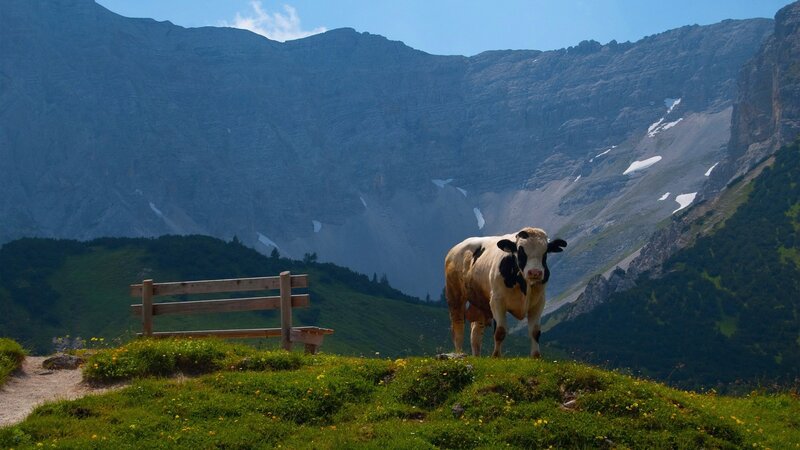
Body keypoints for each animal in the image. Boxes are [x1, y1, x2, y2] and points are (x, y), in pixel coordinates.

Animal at [444, 227, 567, 358]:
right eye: (520, 251)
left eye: (545, 252)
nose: (535, 272)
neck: (523, 284)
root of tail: (455, 248)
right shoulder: (497, 301)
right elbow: (500, 331)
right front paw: (496, 356)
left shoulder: (539, 302)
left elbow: (535, 332)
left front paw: (536, 356)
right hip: (454, 294)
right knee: (458, 325)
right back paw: (459, 354)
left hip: (480, 303)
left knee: (476, 331)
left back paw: (477, 356)